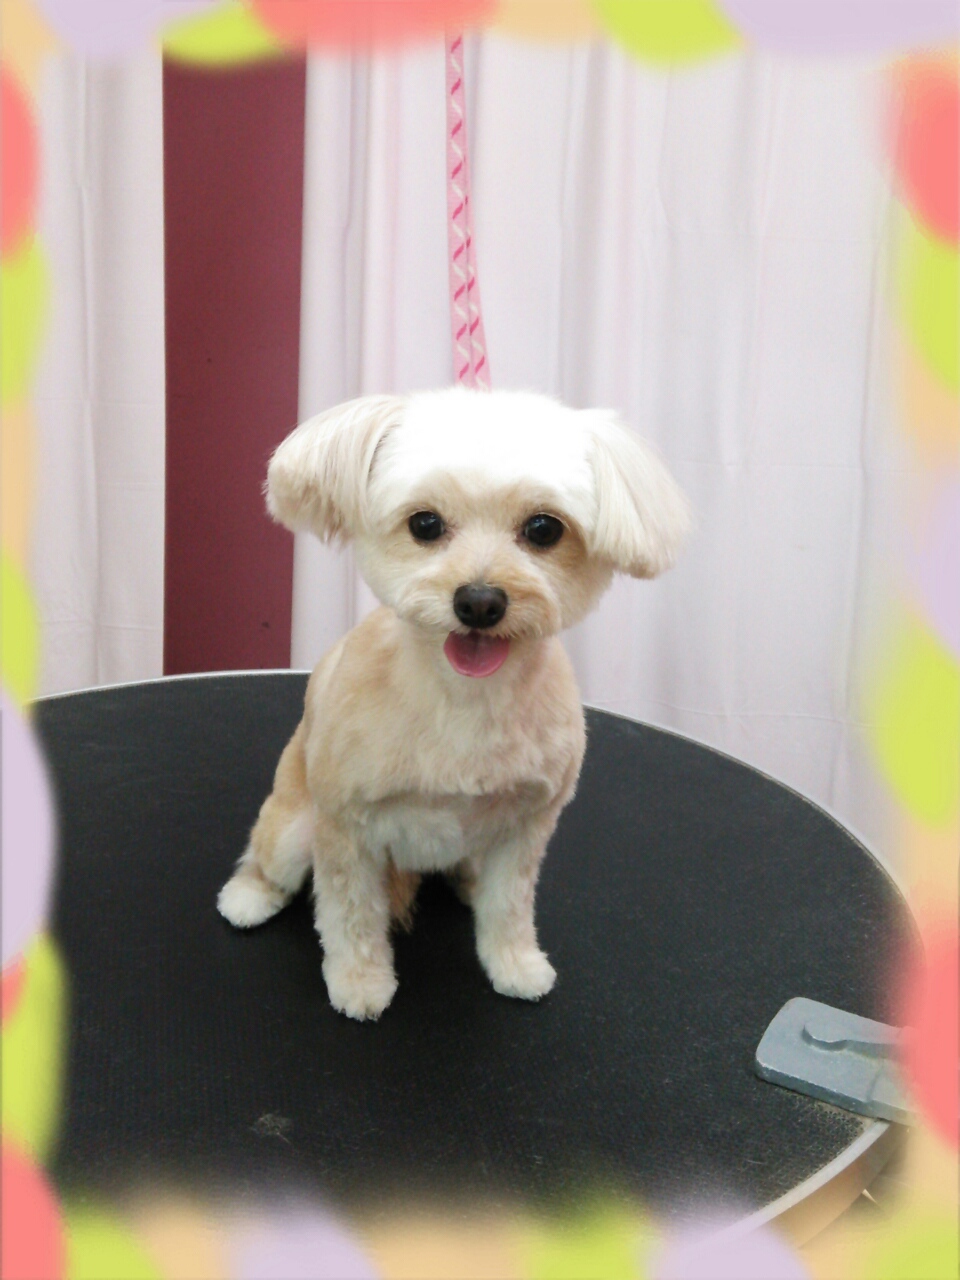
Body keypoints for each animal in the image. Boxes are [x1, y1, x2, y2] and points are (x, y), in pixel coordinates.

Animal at [217, 387, 690, 1020]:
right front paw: (359, 981)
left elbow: (509, 907)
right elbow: (351, 915)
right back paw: (248, 897)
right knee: (268, 858)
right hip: (295, 824)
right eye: (425, 523)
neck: (465, 700)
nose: (480, 601)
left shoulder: (526, 828)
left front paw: (514, 964)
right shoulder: (346, 829)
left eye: (544, 528)